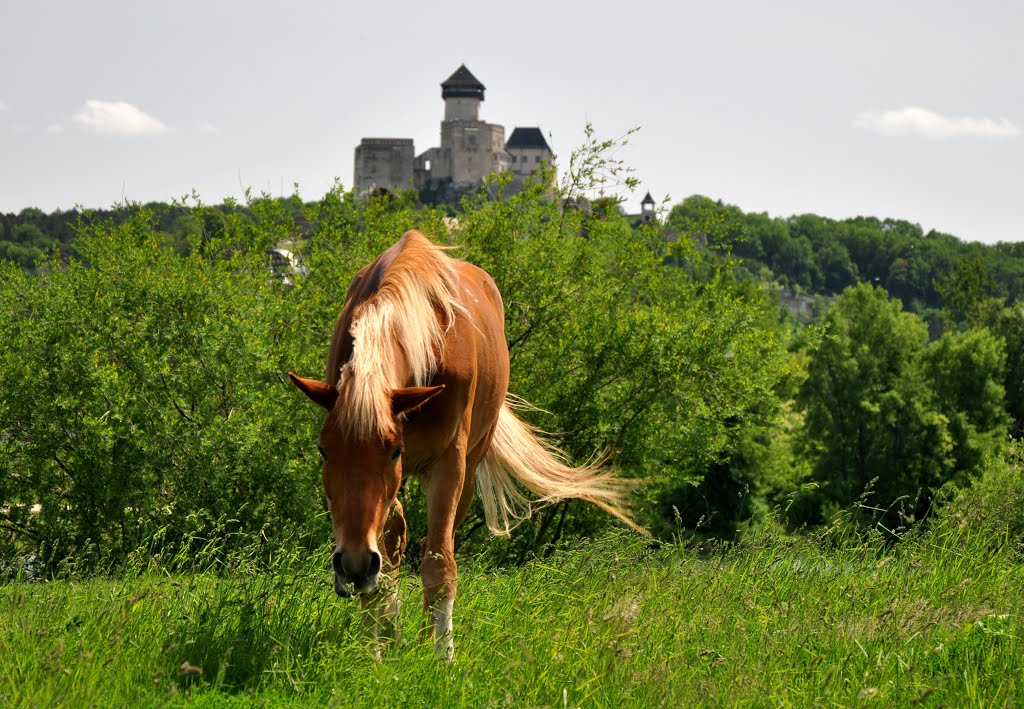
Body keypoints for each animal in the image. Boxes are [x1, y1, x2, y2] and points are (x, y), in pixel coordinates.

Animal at [290, 231, 638, 659]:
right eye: (324, 452)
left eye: (394, 451)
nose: (353, 565)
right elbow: (385, 559)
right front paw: (377, 649)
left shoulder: (447, 468)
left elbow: (440, 565)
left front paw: (440, 657)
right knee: (397, 539)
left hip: (469, 472)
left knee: (433, 545)